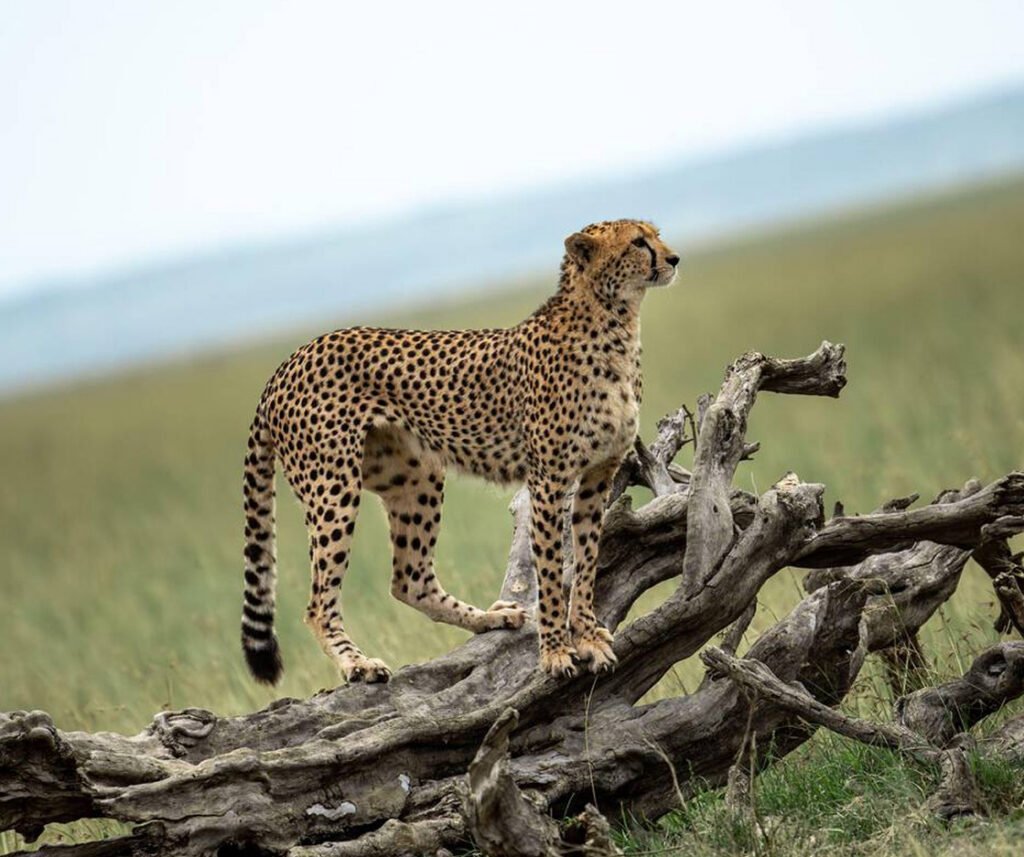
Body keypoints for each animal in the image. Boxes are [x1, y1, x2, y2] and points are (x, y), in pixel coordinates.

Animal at [239, 219, 680, 684]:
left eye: (655, 234)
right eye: (638, 242)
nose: (673, 258)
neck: (615, 321)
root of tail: (288, 361)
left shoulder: (598, 474)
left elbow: (586, 562)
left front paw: (589, 638)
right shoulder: (548, 480)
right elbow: (548, 570)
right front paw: (556, 652)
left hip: (415, 477)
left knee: (409, 580)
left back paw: (488, 618)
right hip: (334, 486)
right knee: (318, 604)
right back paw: (357, 663)